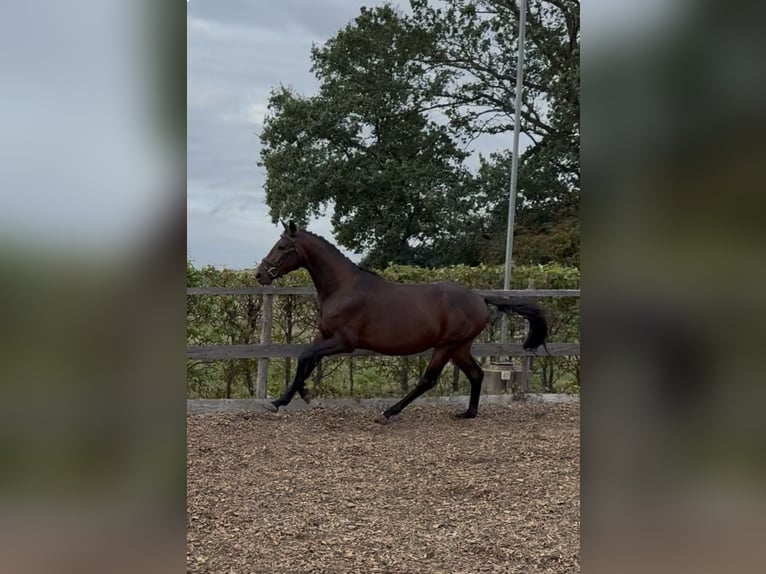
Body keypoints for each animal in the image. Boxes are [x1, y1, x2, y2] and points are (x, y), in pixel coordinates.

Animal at [254, 221, 547, 423]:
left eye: (282, 247)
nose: (259, 274)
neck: (343, 288)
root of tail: (479, 297)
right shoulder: (323, 336)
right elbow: (306, 360)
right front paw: (290, 397)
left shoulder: (343, 342)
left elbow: (306, 357)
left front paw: (285, 399)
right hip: (460, 346)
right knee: (476, 374)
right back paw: (468, 413)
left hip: (446, 345)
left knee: (428, 381)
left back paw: (388, 413)